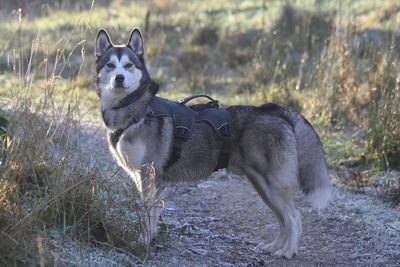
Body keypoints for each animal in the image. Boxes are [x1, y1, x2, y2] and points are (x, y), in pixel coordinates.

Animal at [94, 28, 332, 258]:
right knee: (283, 220)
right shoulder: (149, 181)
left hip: (273, 184)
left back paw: (288, 251)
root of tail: (276, 110)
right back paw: (274, 247)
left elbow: (146, 216)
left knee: (294, 218)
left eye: (128, 65)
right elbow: (152, 216)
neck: (136, 110)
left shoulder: (148, 175)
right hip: (262, 186)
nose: (119, 78)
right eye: (110, 65)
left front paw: (142, 244)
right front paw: (150, 241)